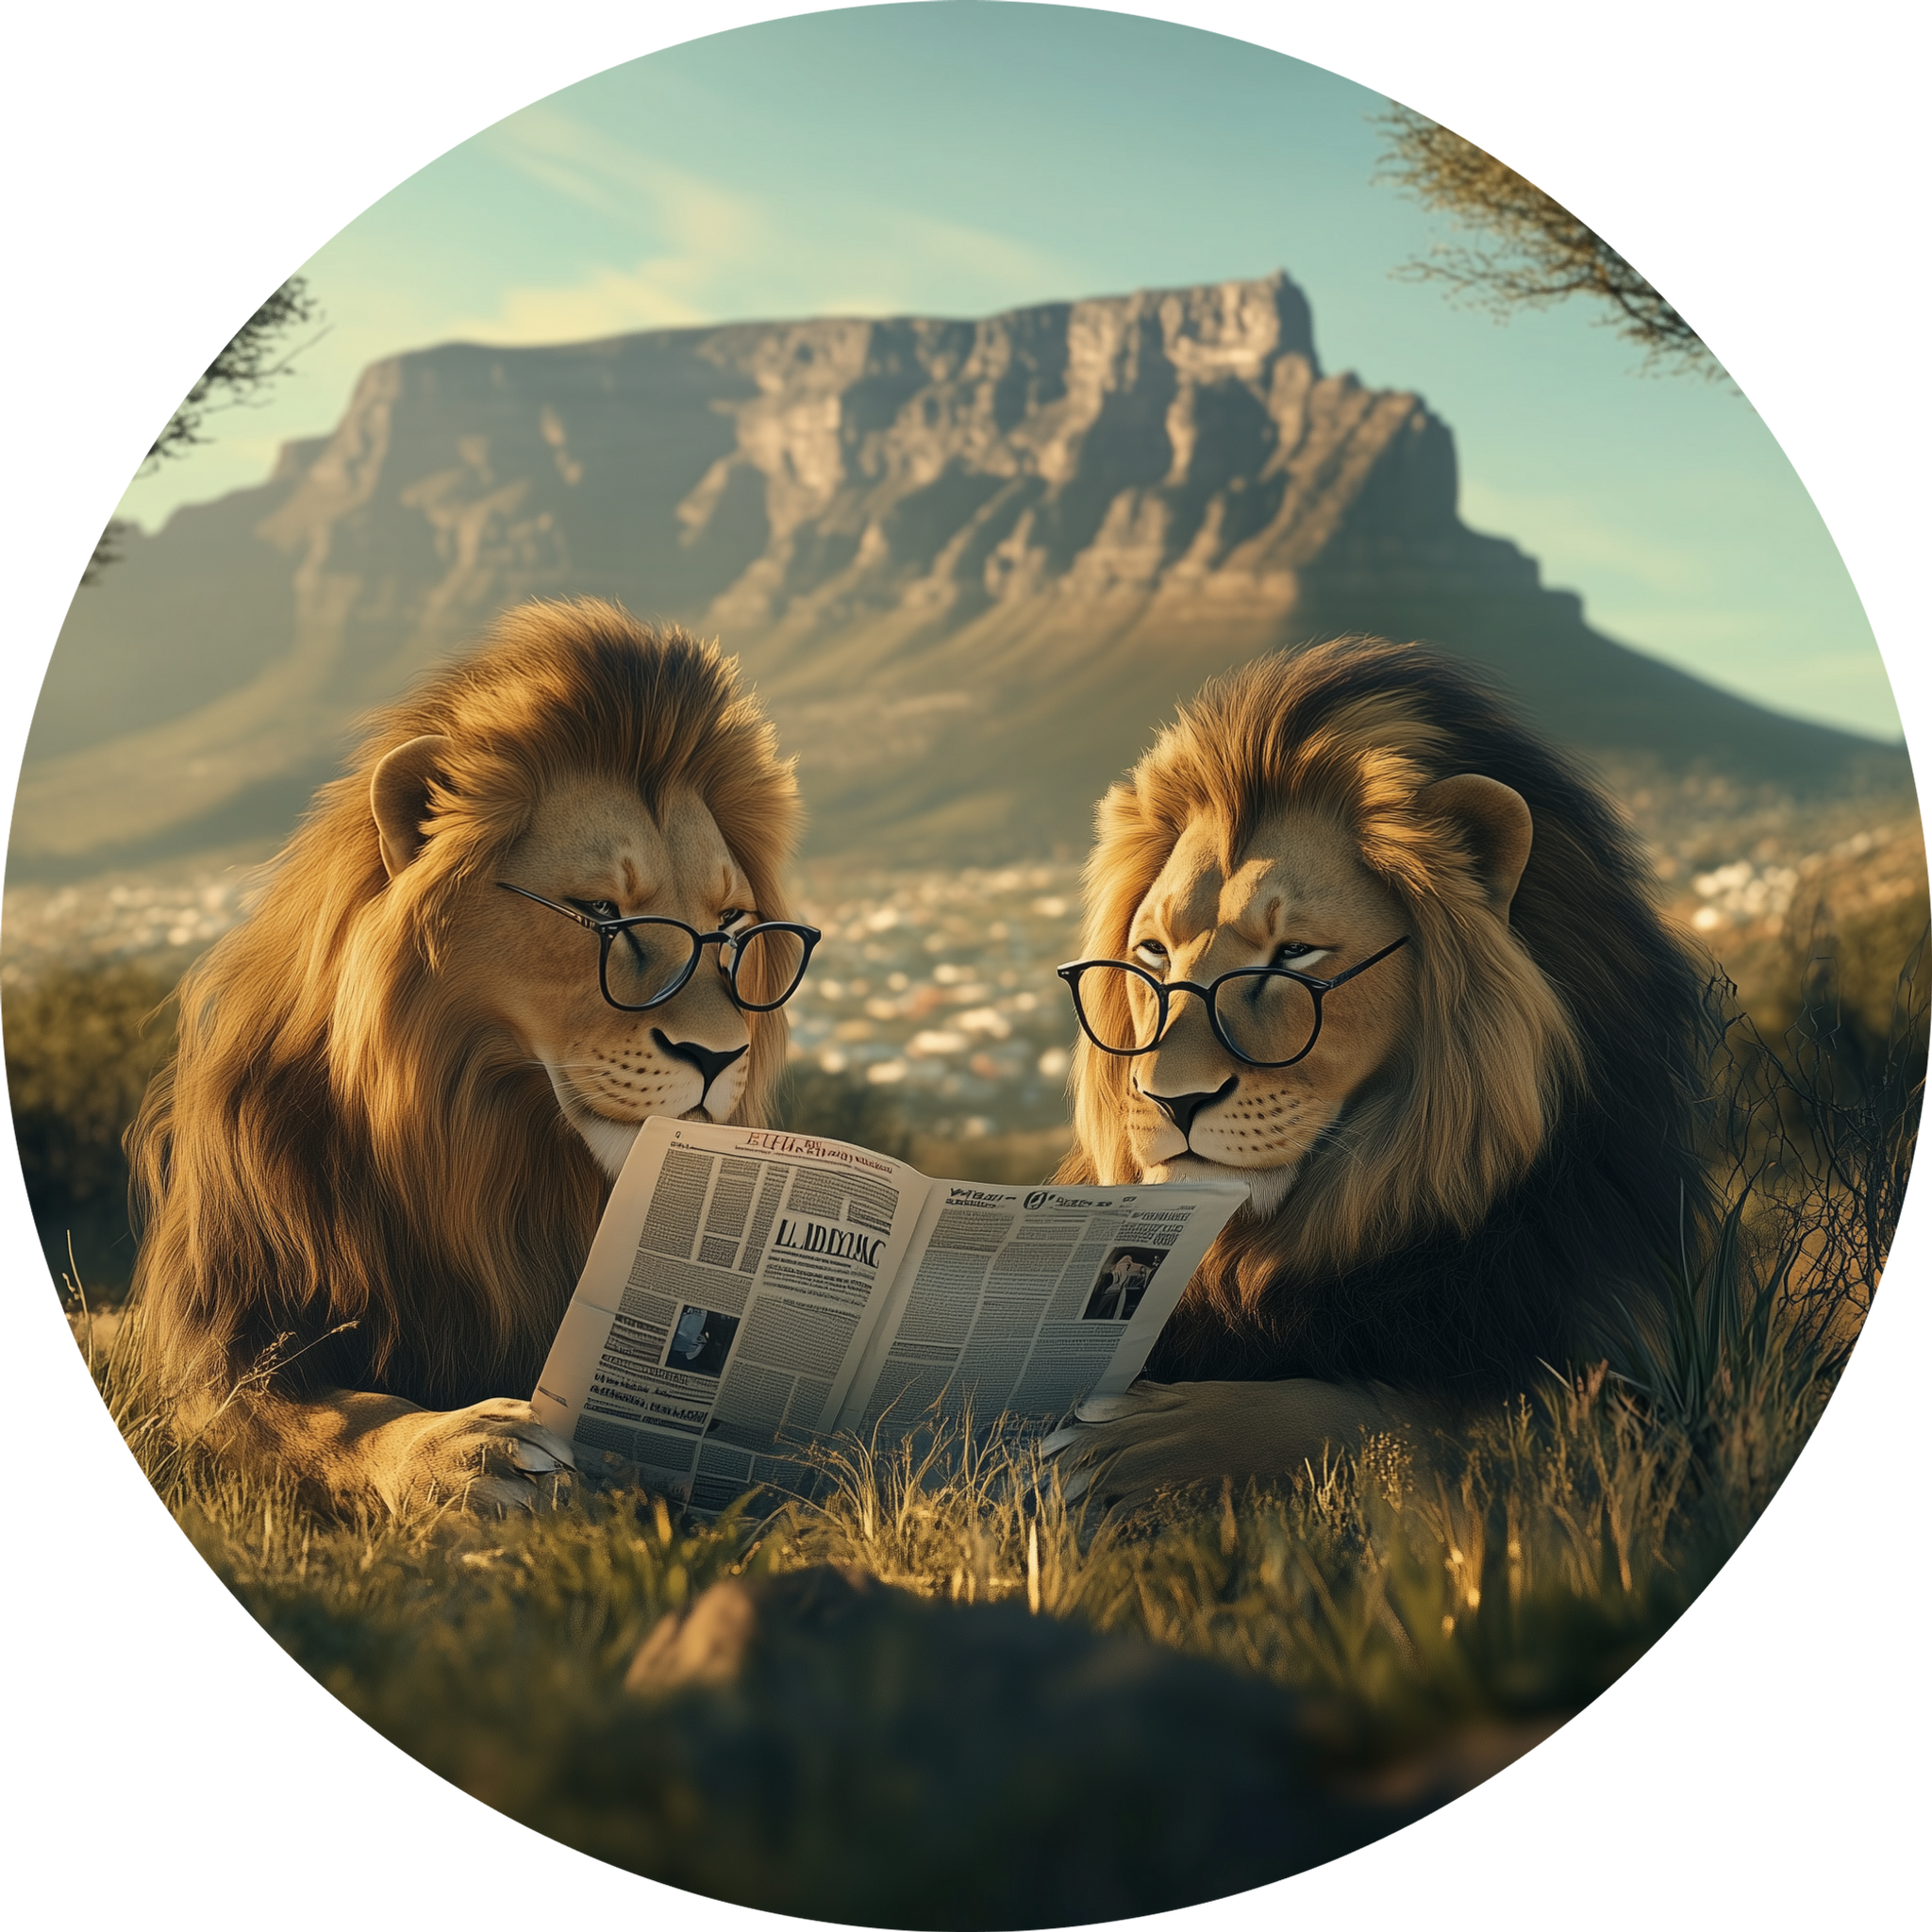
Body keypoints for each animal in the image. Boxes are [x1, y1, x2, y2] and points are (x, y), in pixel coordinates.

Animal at [127, 600, 805, 1513]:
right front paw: (460, 1450)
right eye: (602, 912)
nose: (718, 1054)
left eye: (732, 924)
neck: (489, 1142)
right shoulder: (218, 1349)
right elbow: (332, 1417)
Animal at [1044, 638, 1714, 1513]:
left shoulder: (1640, 1399)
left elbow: (1392, 1422)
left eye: (1294, 954)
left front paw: (1143, 1445)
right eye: (1153, 953)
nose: (1169, 1099)